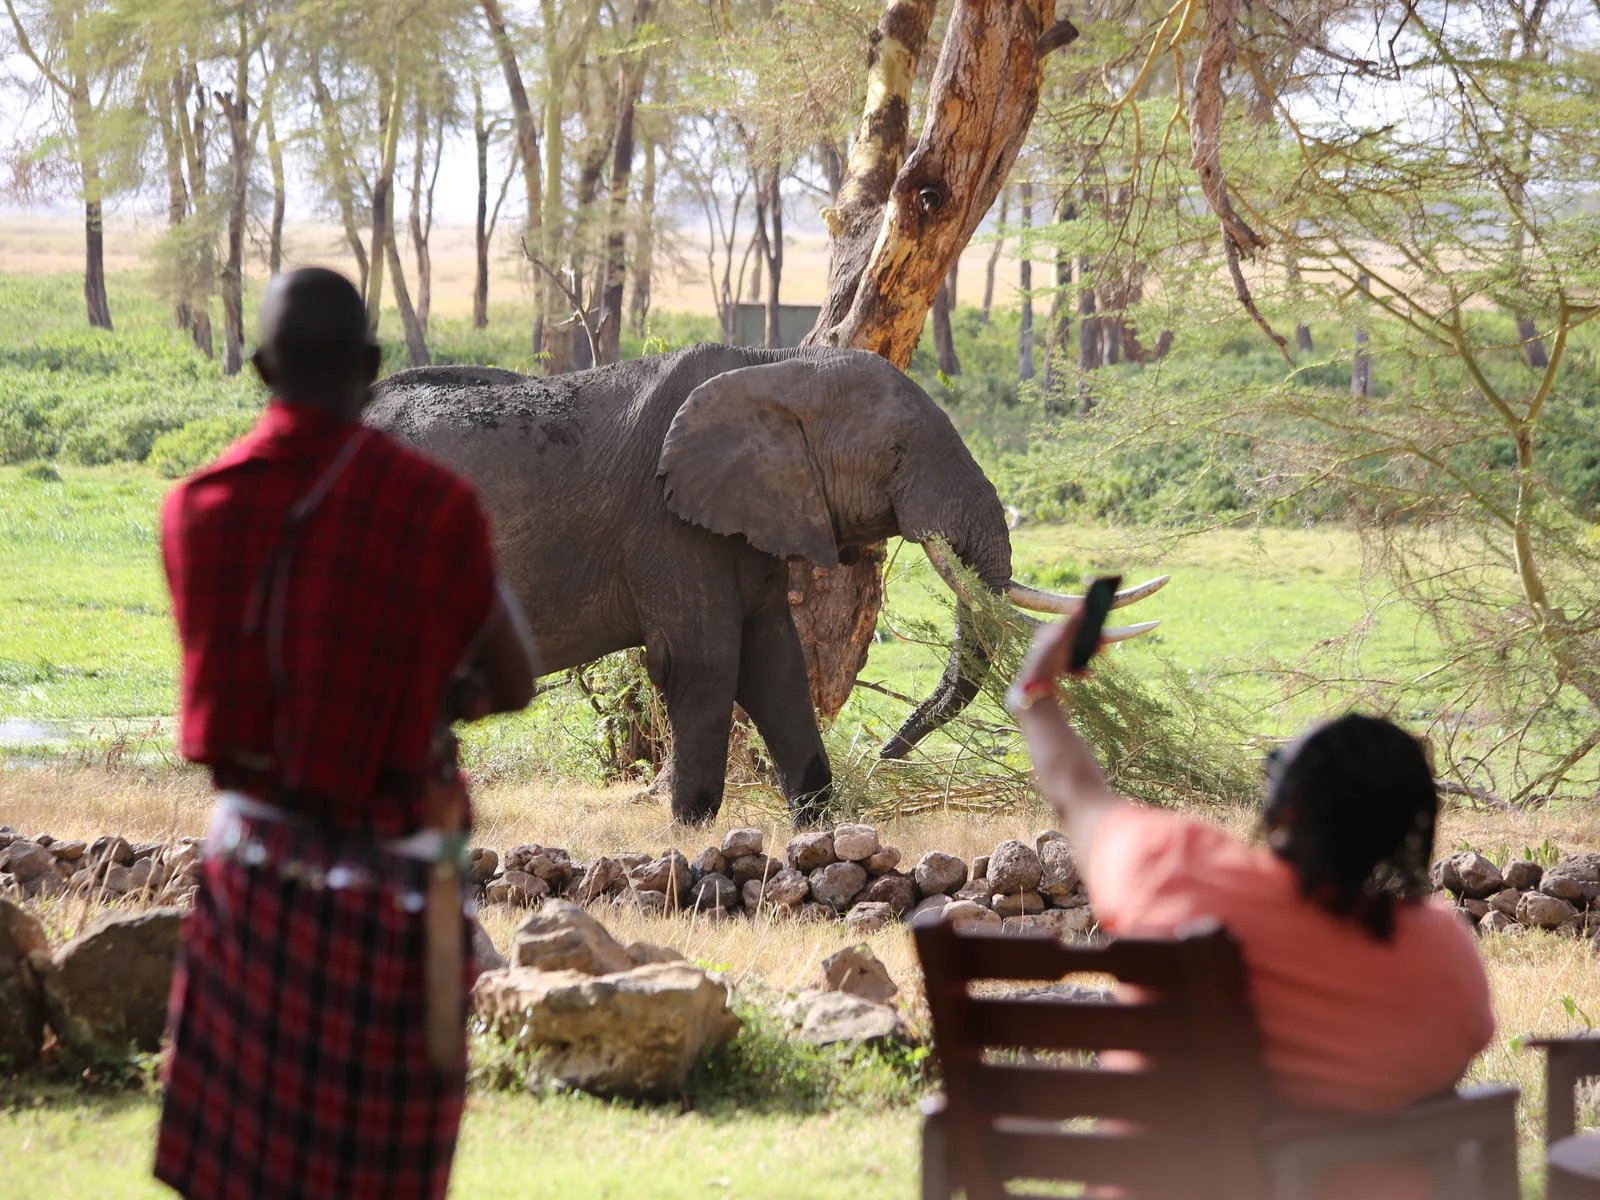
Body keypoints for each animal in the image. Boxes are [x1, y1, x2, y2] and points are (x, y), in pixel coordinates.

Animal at [365, 344, 1164, 826]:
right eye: (896, 453)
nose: (888, 752)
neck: (779, 367)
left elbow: (775, 662)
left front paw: (817, 823)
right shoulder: (670, 525)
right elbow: (706, 662)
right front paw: (690, 832)